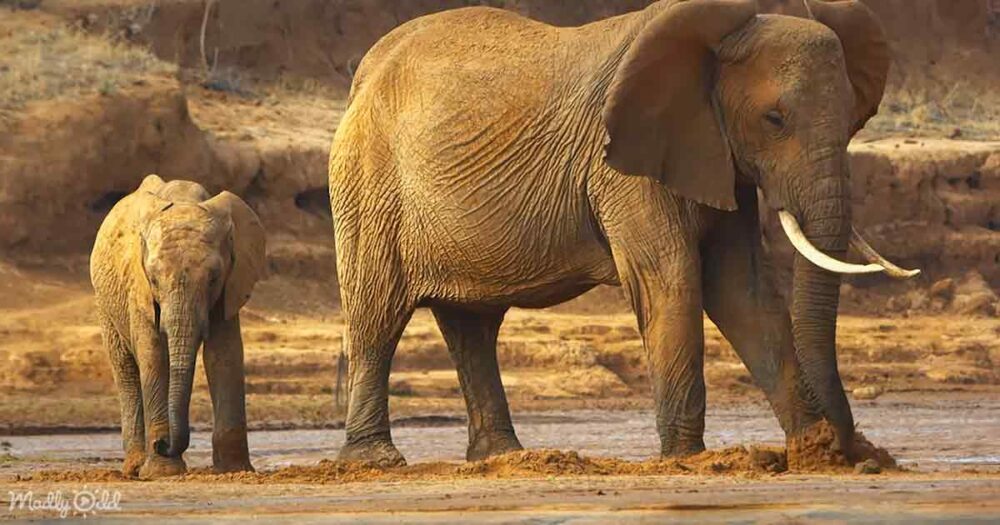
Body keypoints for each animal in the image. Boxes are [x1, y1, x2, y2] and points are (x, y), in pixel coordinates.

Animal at [90, 174, 265, 478]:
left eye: (213, 278)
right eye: (153, 279)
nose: (162, 444)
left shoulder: (230, 284)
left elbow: (224, 356)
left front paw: (234, 470)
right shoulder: (138, 289)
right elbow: (154, 356)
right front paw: (162, 472)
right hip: (105, 303)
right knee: (125, 369)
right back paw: (134, 467)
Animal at [327, 0, 919, 467]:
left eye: (853, 120)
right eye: (774, 120)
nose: (860, 449)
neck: (714, 44)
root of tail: (364, 75)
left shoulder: (716, 158)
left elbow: (741, 292)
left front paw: (814, 453)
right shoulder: (623, 166)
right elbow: (673, 280)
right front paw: (686, 461)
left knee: (472, 326)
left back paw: (503, 458)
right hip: (368, 185)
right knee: (377, 314)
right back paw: (376, 461)